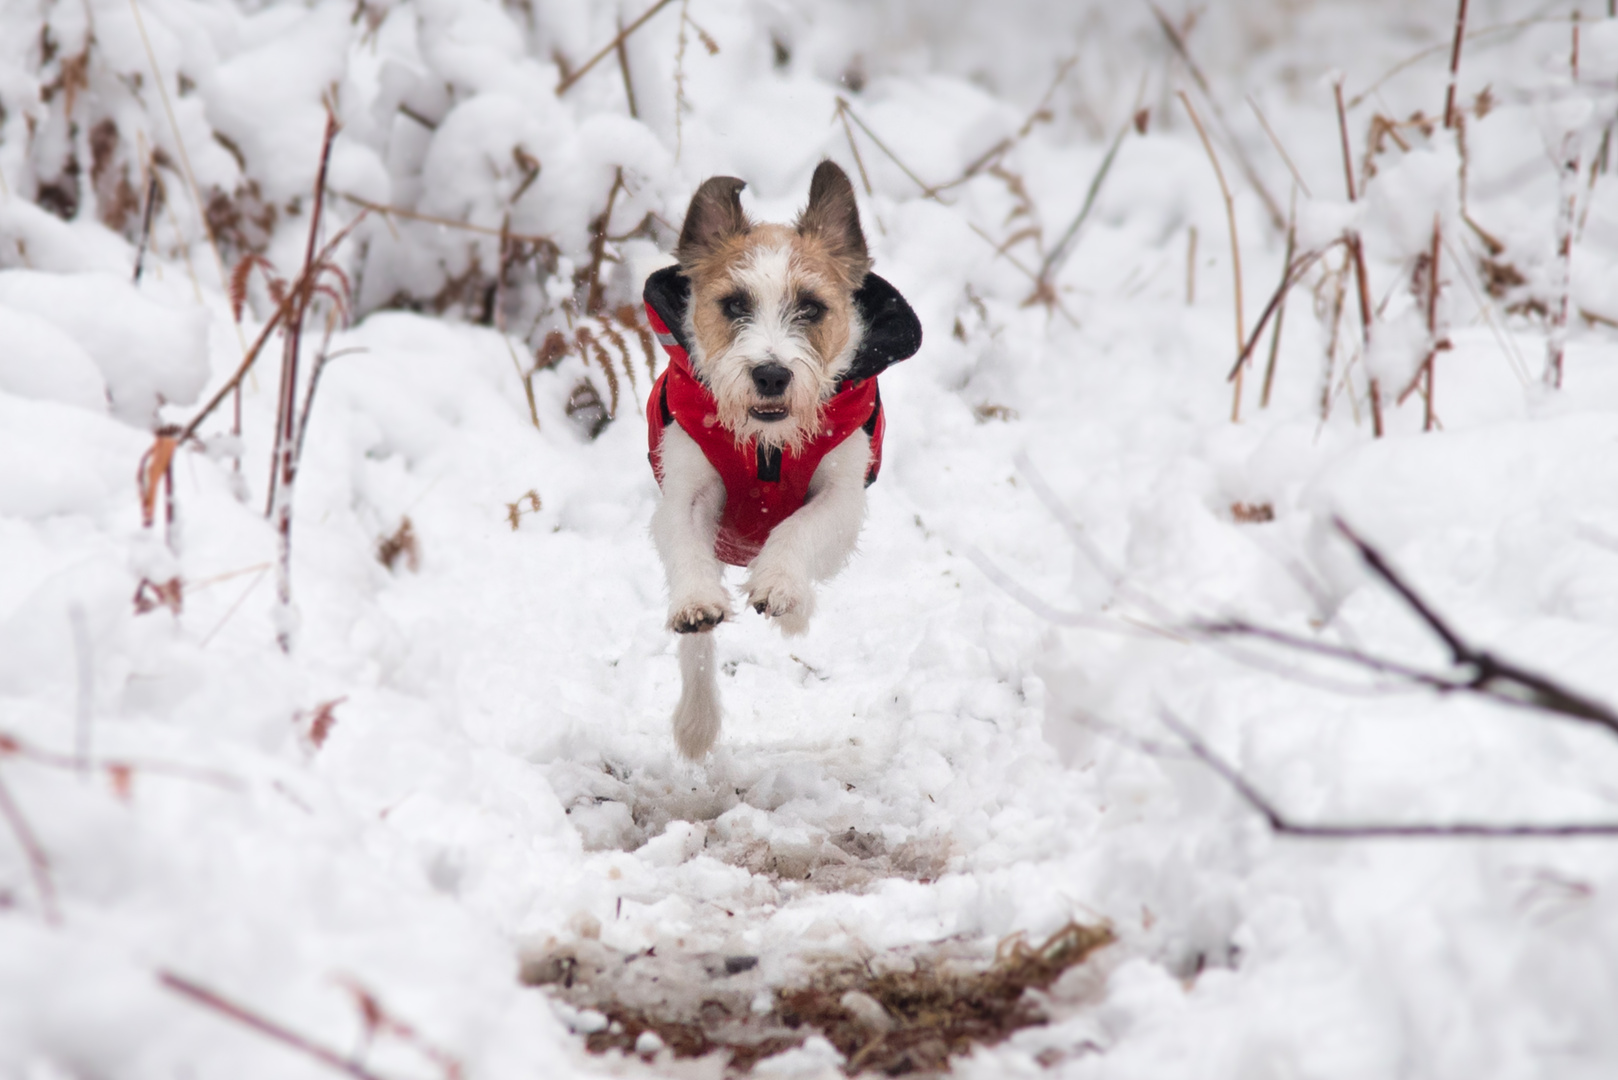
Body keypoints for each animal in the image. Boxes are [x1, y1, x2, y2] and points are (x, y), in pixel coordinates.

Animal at [643, 162, 925, 761]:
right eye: (734, 305)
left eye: (811, 307)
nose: (771, 374)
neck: (765, 446)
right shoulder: (686, 492)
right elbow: (685, 546)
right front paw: (697, 602)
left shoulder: (843, 497)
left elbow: (800, 527)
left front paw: (778, 586)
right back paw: (697, 721)